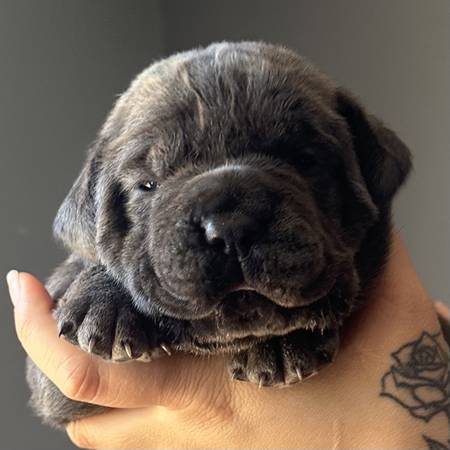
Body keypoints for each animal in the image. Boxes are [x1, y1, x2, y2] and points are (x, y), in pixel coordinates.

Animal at [27, 41, 412, 428]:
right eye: (147, 185)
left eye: (306, 161)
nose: (231, 225)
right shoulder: (57, 388)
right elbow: (89, 259)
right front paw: (105, 302)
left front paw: (279, 345)